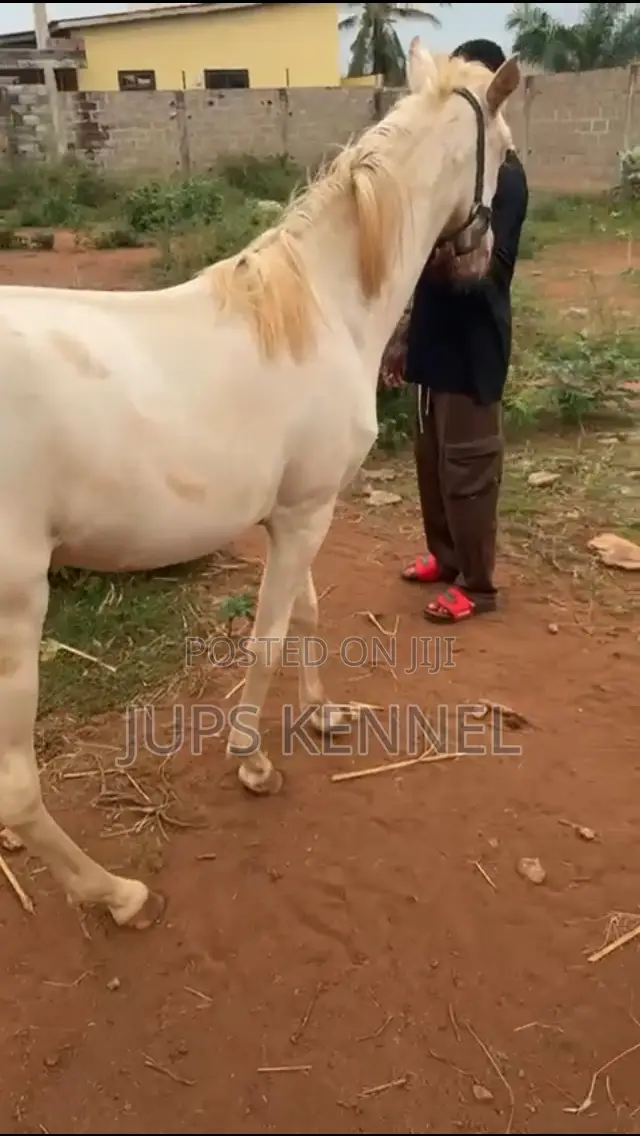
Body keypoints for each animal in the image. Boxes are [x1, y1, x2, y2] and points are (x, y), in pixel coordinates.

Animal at [0, 38, 520, 931]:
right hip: (14, 616)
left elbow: (306, 616)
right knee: (16, 789)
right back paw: (118, 894)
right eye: (509, 154)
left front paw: (322, 715)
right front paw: (252, 762)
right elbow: (270, 636)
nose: (482, 262)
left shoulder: (296, 515)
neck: (324, 308)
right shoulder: (307, 513)